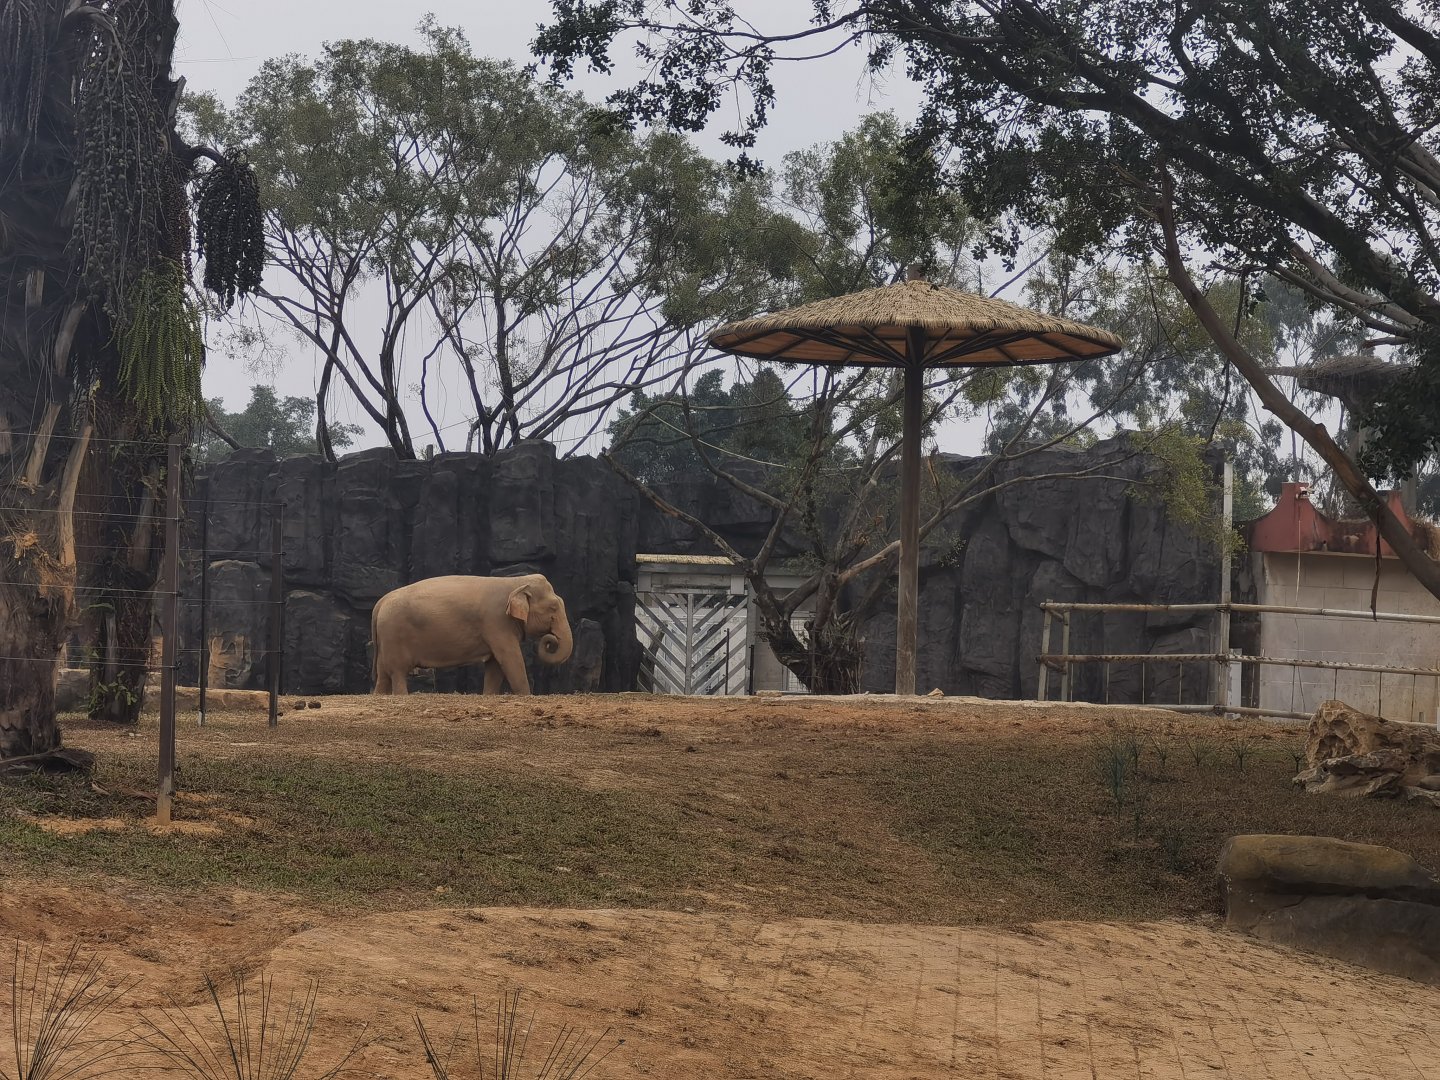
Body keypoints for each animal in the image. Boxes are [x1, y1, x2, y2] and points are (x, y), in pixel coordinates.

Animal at [370, 574, 573, 696]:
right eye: (553, 608)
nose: (550, 640)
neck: (515, 582)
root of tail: (381, 602)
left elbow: (495, 665)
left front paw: (489, 695)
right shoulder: (496, 622)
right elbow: (510, 658)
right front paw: (526, 696)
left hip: (385, 637)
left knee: (383, 674)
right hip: (394, 634)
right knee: (397, 672)